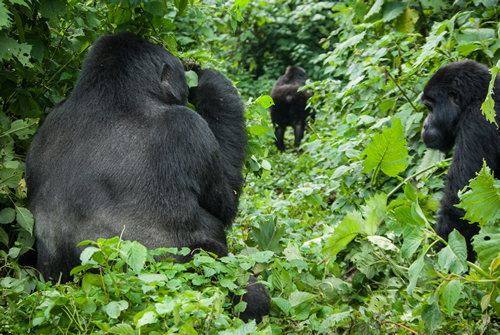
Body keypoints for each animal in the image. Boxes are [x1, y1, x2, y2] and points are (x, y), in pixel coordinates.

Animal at [24, 32, 270, 324]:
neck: (111, 94)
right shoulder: (188, 127)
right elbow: (225, 203)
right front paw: (209, 80)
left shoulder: (44, 128)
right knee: (243, 292)